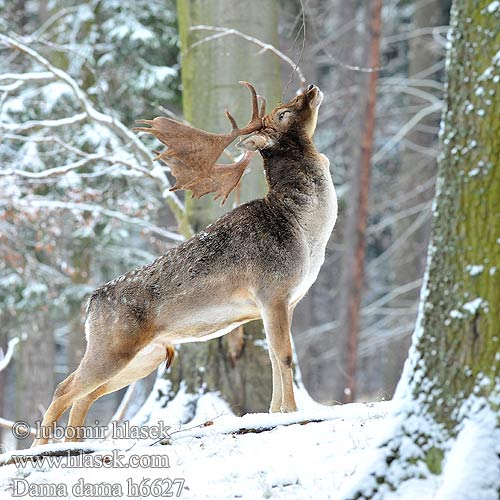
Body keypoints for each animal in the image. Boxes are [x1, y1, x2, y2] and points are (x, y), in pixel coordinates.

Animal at [33, 81, 338, 446]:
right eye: (283, 112)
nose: (311, 88)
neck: (306, 233)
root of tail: (91, 304)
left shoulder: (287, 301)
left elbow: (273, 358)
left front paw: (276, 411)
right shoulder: (272, 291)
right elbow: (285, 355)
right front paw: (291, 412)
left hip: (144, 357)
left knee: (85, 395)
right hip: (113, 346)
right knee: (64, 389)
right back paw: (37, 448)